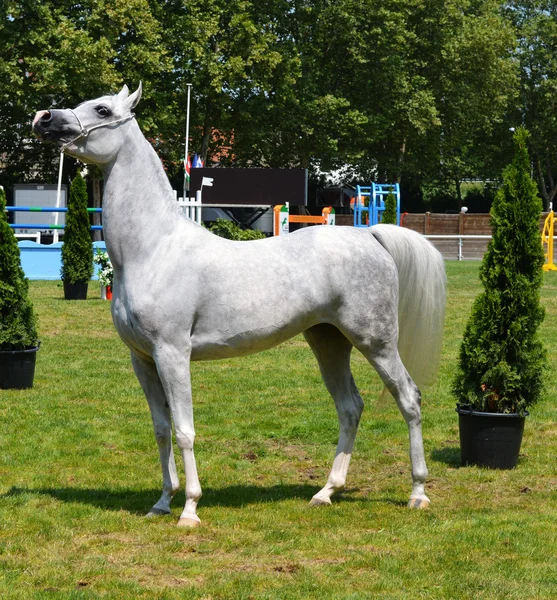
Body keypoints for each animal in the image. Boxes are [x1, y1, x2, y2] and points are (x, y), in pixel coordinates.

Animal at [33, 85, 444, 528]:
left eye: (102, 110)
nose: (43, 118)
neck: (154, 249)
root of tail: (369, 234)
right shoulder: (142, 359)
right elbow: (160, 429)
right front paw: (161, 502)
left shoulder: (172, 354)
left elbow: (184, 430)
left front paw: (190, 509)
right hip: (328, 341)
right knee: (350, 407)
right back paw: (325, 492)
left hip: (376, 342)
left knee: (409, 398)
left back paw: (418, 493)